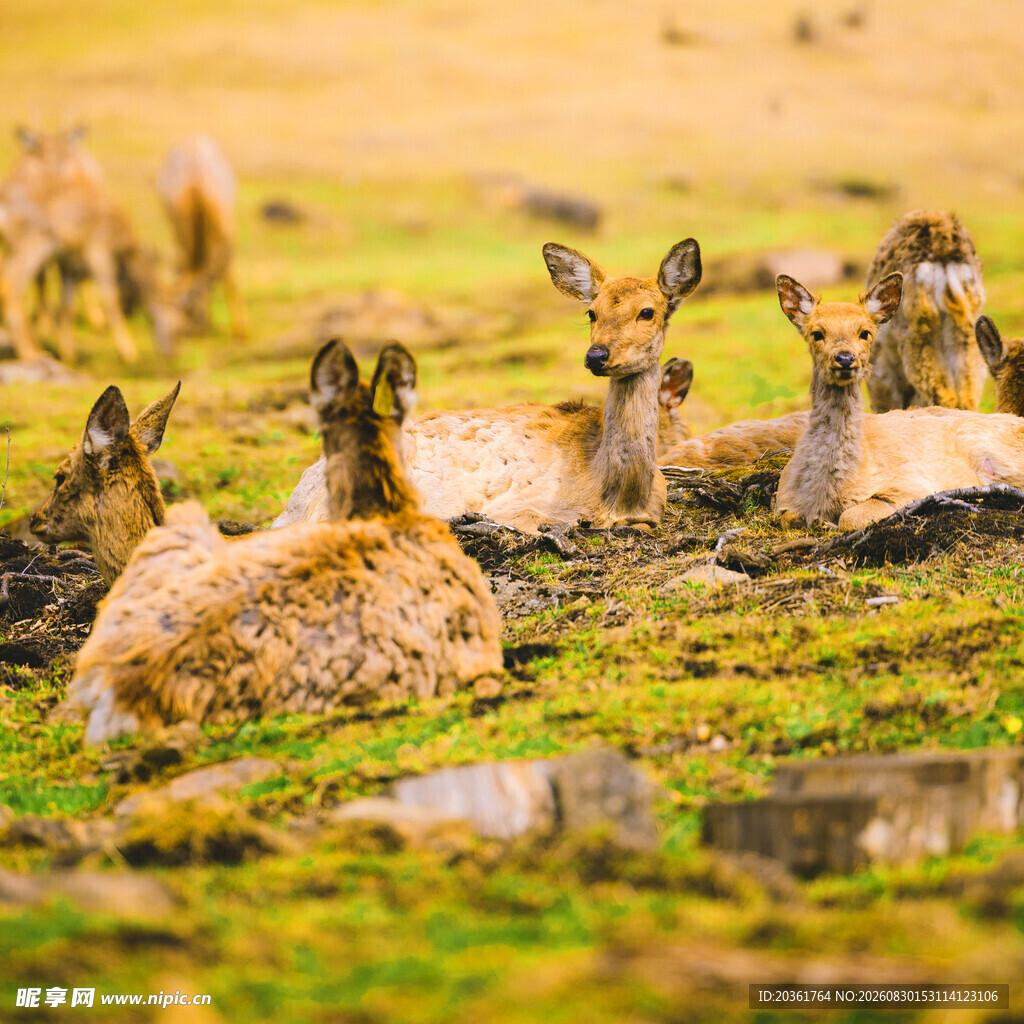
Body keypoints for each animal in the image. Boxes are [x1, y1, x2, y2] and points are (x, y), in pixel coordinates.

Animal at [0, 127, 182, 363]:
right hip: (31, 246)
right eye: (179, 324)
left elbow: (67, 304)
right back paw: (30, 352)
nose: (174, 353)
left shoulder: (70, 264)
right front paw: (128, 353)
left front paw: (68, 354)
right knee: (12, 289)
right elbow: (110, 297)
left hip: (13, 248)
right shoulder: (98, 248)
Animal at [273, 240, 702, 532]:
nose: (596, 355)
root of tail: (294, 500)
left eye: (648, 312)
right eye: (591, 312)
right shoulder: (521, 508)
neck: (615, 496)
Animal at [774, 273, 1024, 530]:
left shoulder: (911, 486)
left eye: (865, 332)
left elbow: (849, 518)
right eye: (816, 333)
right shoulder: (783, 500)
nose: (844, 358)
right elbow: (788, 518)